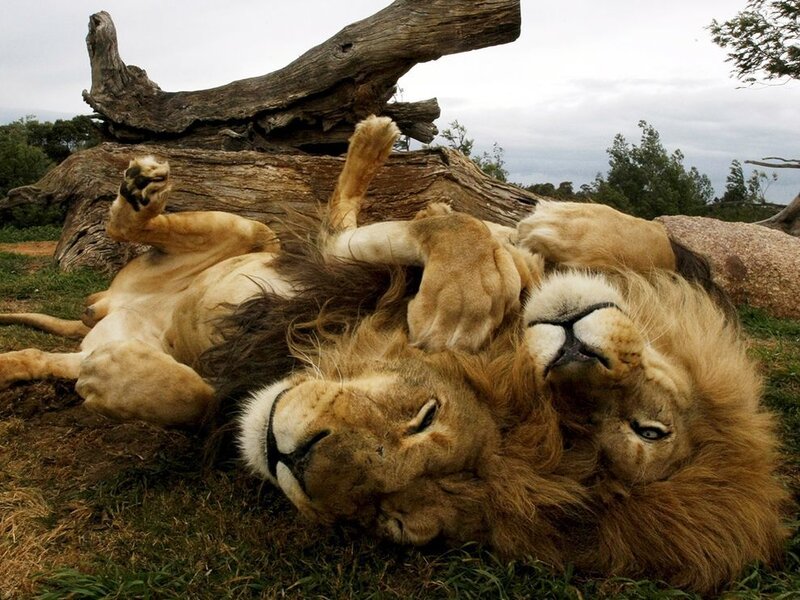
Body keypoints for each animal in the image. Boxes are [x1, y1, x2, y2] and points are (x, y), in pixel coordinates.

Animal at [0, 117, 789, 594]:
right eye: (425, 414)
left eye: (393, 521)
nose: (291, 457)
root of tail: (113, 301)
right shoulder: (356, 266)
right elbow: (452, 228)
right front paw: (467, 291)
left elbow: (196, 397)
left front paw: (116, 380)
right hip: (248, 232)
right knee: (136, 223)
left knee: (50, 353)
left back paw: (33, 365)